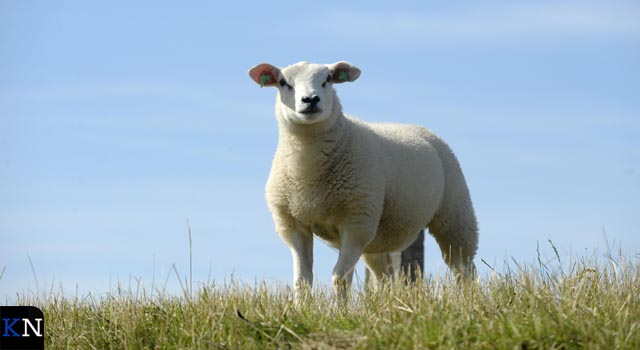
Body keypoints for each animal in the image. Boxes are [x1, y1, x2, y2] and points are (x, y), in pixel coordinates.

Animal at [248, 61, 478, 300]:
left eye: (327, 79)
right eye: (283, 82)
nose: (310, 100)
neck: (308, 175)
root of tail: (417, 127)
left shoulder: (355, 223)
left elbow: (340, 277)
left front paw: (340, 308)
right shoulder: (294, 225)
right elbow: (302, 281)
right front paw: (301, 307)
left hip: (455, 215)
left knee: (463, 267)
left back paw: (469, 298)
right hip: (377, 237)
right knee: (384, 276)